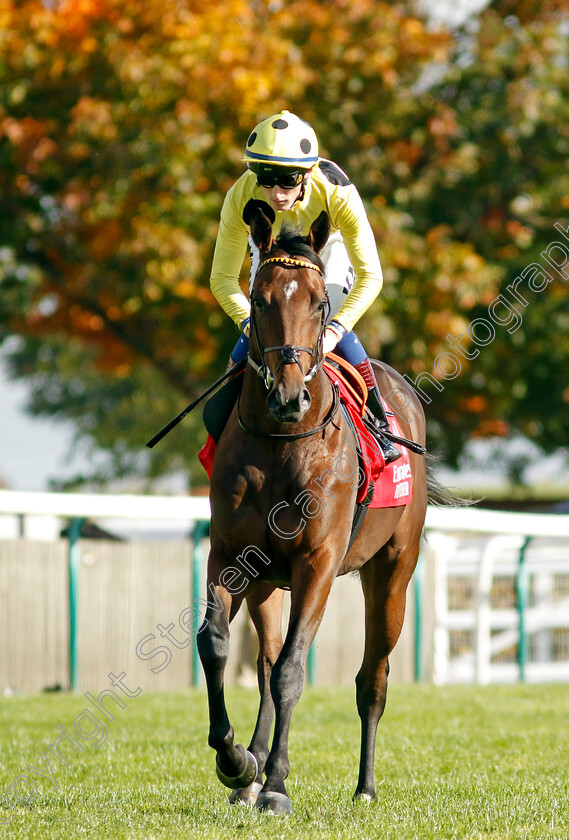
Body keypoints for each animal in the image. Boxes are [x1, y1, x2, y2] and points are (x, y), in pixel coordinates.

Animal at [197, 205, 428, 812]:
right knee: (263, 660)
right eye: (258, 300)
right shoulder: (230, 556)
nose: (288, 396)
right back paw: (249, 774)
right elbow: (215, 645)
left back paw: (364, 787)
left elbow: (293, 672)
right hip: (267, 583)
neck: (282, 442)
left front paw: (277, 784)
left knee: (372, 679)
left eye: (321, 303)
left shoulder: (317, 561)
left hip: (392, 572)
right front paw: (236, 761)